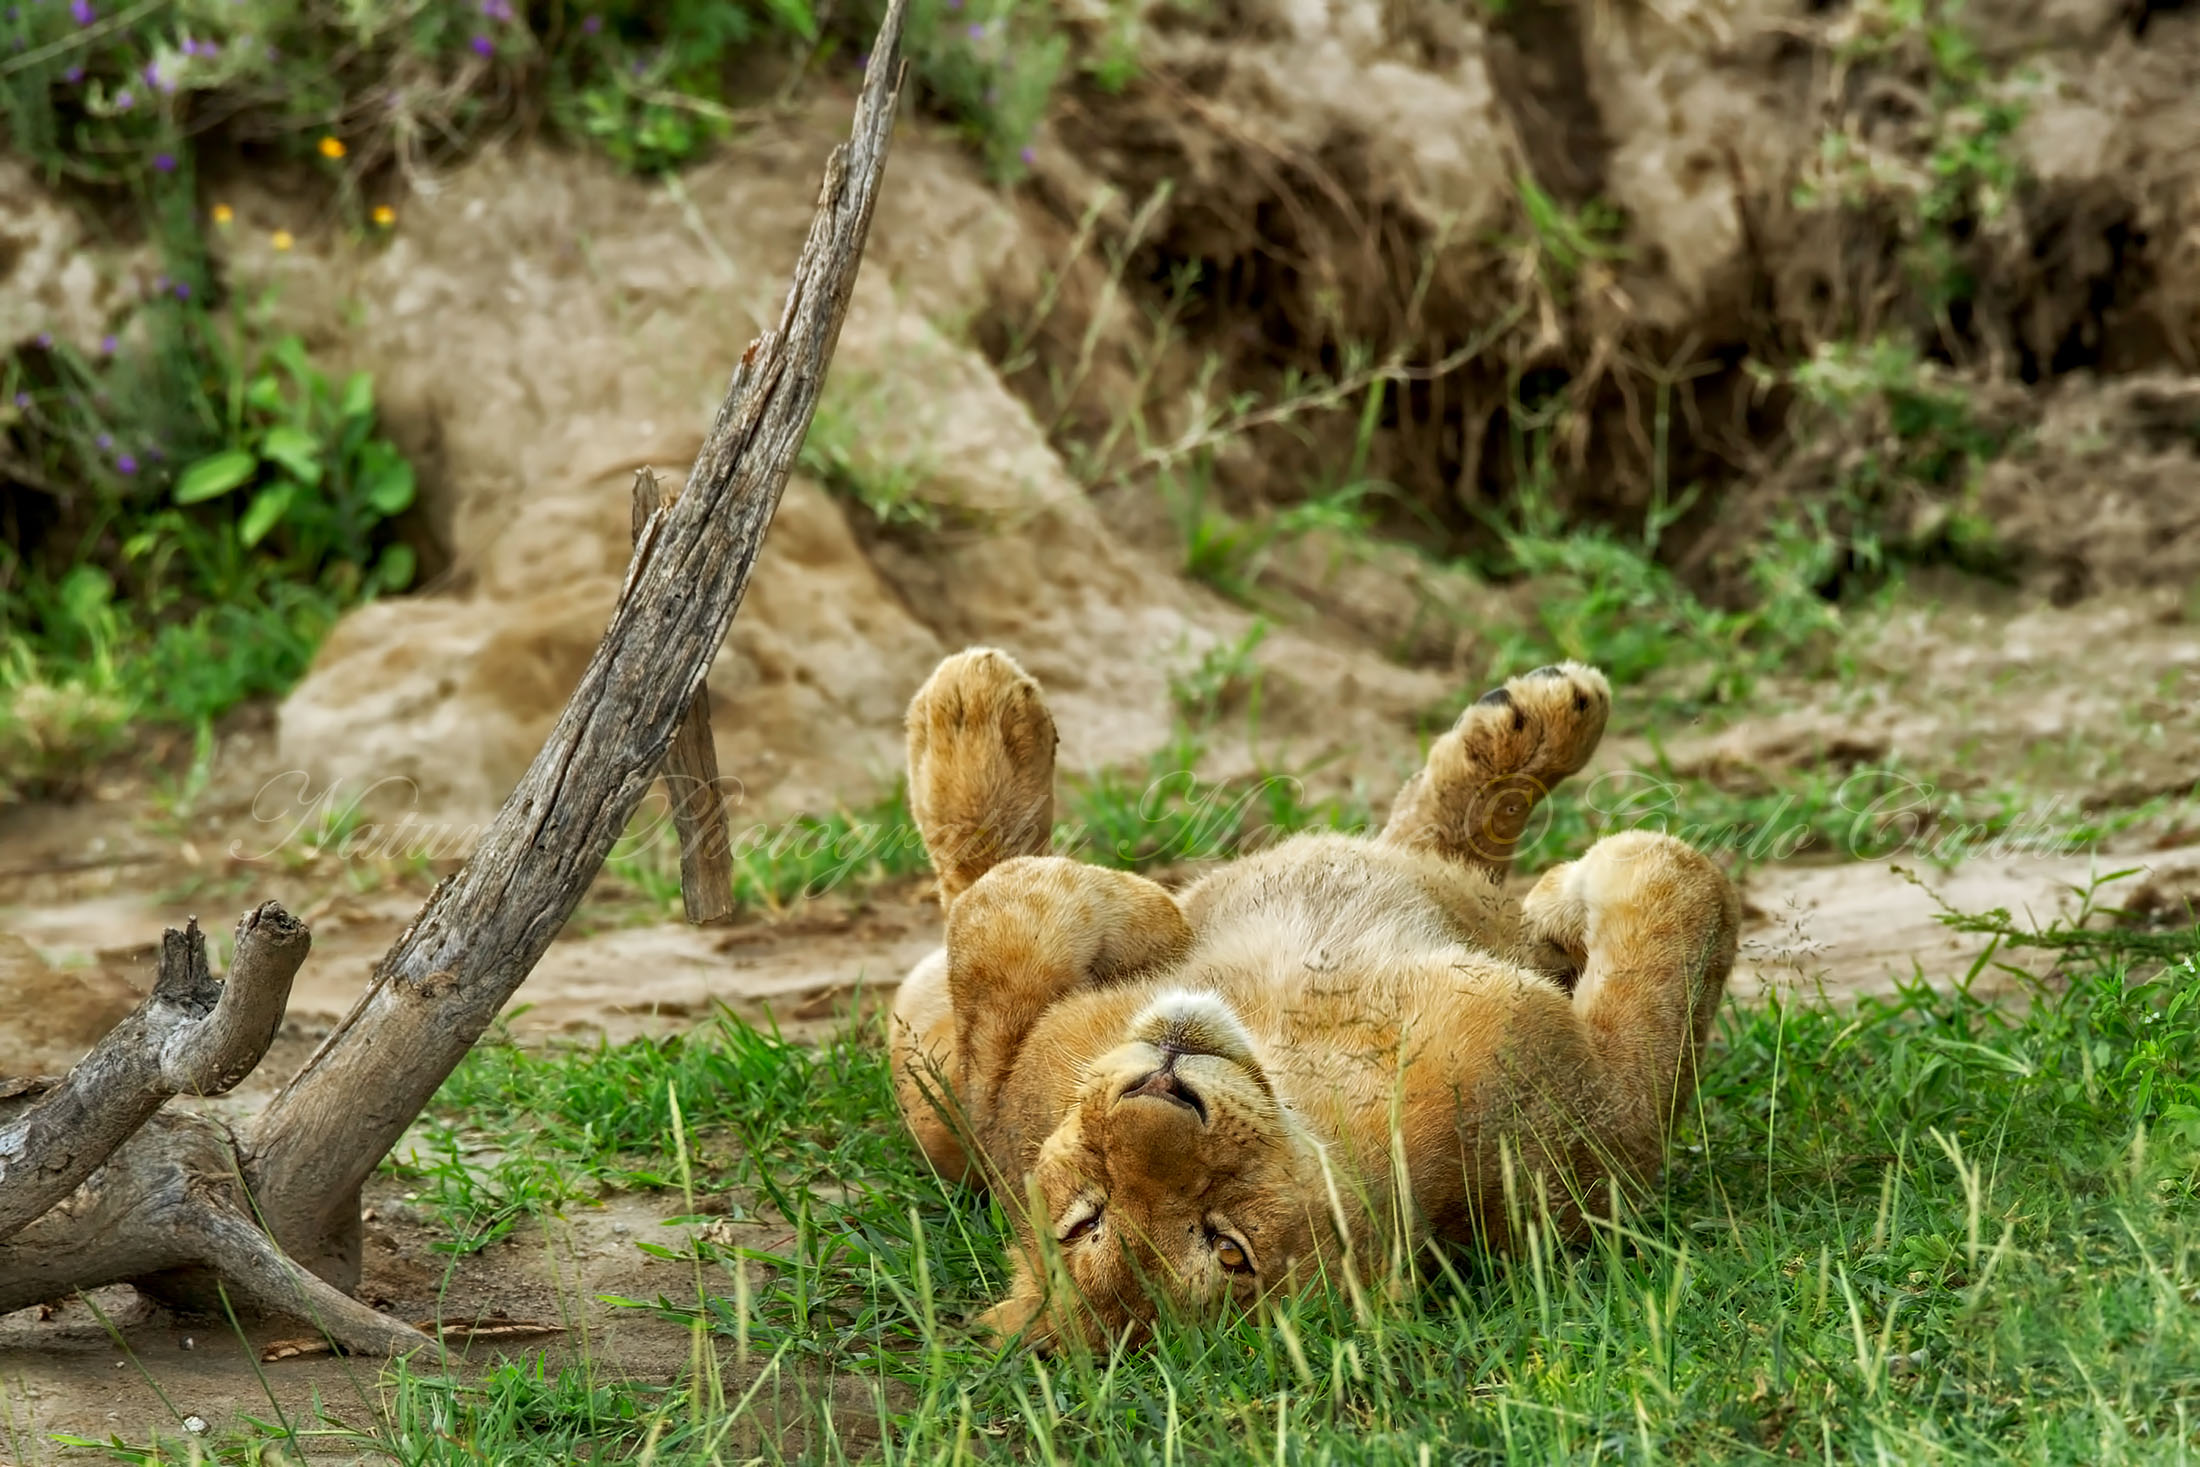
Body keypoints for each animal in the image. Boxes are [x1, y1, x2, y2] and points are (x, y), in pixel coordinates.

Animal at [888, 647, 1739, 1349]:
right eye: (1228, 1246)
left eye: (1082, 1218)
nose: (1162, 1091)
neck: (1299, 1064)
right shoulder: (1601, 1130)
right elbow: (1682, 902)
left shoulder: (1023, 1069)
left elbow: (997, 924)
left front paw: (1158, 921)